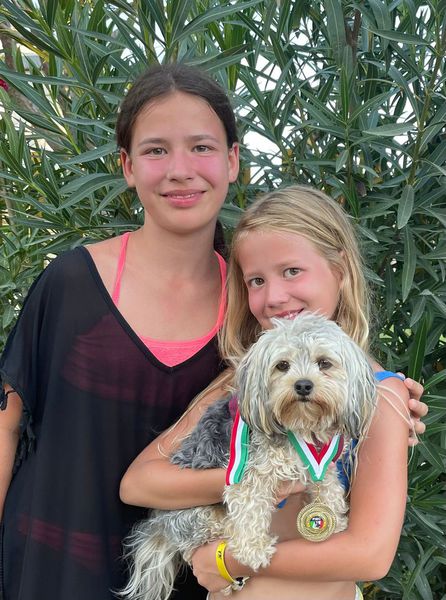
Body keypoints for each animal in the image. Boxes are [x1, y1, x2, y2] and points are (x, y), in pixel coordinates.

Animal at [120, 313, 377, 600]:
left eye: (324, 363)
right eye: (282, 365)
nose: (303, 385)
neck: (300, 426)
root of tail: (160, 525)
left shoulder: (323, 464)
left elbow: (328, 485)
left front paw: (334, 515)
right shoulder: (250, 475)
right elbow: (251, 509)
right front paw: (253, 549)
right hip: (198, 516)